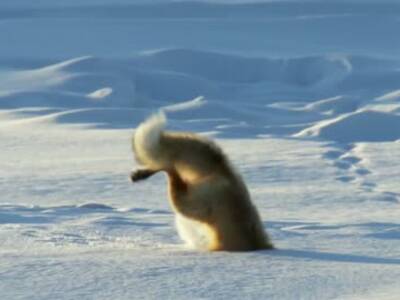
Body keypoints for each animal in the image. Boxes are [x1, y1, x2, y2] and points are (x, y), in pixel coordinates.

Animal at [130, 112, 274, 251]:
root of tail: (224, 170)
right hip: (190, 205)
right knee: (171, 170)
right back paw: (143, 174)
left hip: (191, 206)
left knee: (170, 168)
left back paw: (140, 174)